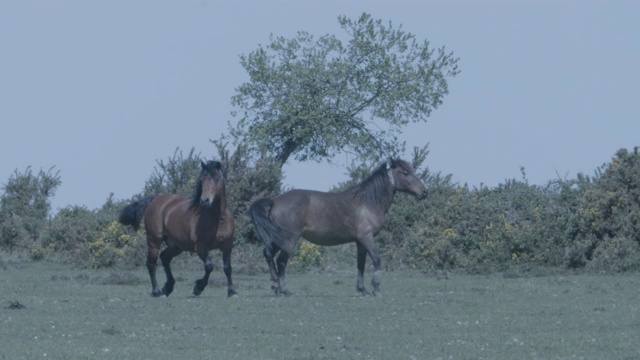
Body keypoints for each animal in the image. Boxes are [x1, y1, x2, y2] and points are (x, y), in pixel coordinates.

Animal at [117, 162, 235, 296]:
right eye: (202, 179)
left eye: (216, 178)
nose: (204, 200)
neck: (218, 219)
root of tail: (155, 200)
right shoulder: (200, 246)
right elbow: (209, 266)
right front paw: (198, 287)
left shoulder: (227, 245)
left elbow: (227, 268)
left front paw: (232, 291)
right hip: (154, 241)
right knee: (151, 263)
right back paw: (157, 291)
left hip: (176, 246)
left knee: (164, 257)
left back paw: (168, 287)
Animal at [249, 159, 424, 296]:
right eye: (405, 173)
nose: (424, 192)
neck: (367, 202)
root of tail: (275, 201)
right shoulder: (367, 238)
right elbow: (376, 259)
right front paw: (376, 289)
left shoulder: (360, 242)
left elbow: (360, 264)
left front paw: (362, 290)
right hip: (289, 239)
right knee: (280, 261)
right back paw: (284, 290)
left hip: (278, 238)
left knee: (268, 254)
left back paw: (275, 285)